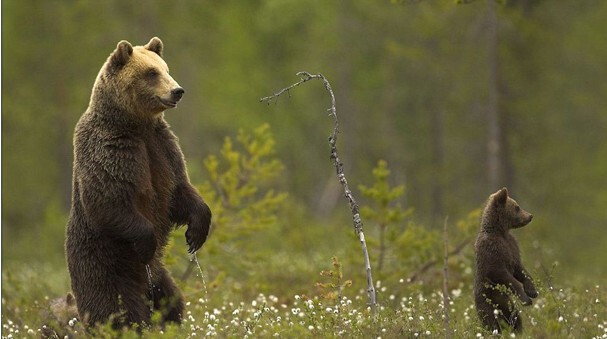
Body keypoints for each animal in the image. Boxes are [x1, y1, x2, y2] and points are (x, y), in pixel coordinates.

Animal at [67, 37, 213, 330]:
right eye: (151, 73)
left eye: (166, 68)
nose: (177, 91)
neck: (136, 124)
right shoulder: (112, 150)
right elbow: (108, 200)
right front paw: (147, 242)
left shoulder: (162, 147)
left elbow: (179, 191)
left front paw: (196, 233)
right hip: (104, 266)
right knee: (118, 310)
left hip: (159, 278)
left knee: (172, 302)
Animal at [476, 189, 536, 334]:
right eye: (517, 207)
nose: (530, 216)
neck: (500, 231)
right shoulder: (491, 250)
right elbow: (500, 273)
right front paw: (526, 298)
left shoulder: (512, 245)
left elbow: (519, 268)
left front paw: (531, 290)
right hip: (488, 302)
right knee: (491, 323)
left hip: (508, 306)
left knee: (515, 319)